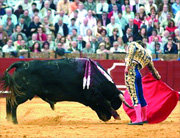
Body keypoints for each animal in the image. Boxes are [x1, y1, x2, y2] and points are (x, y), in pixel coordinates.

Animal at [0, 58, 131, 124]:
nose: (106, 118)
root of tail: (21, 63)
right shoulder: (94, 95)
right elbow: (106, 102)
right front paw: (117, 116)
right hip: (24, 93)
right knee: (13, 103)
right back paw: (14, 121)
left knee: (8, 100)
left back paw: (8, 119)